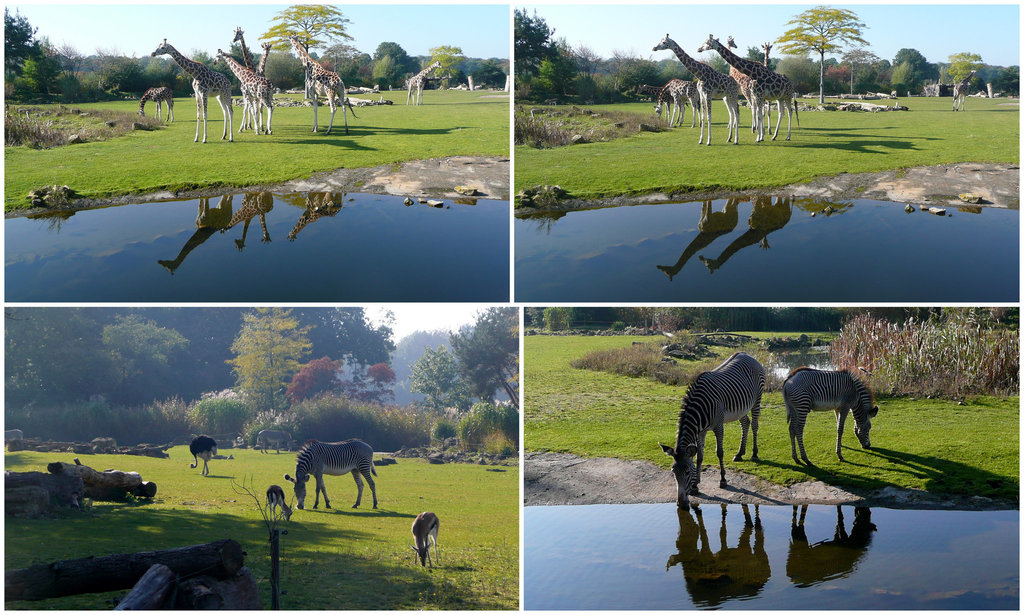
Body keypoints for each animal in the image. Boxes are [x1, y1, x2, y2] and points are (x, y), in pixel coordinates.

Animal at [659, 352, 765, 505]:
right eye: (673, 472)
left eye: (687, 472)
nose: (681, 503)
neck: (700, 409)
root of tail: (748, 355)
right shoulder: (700, 432)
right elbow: (699, 457)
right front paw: (696, 485)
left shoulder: (718, 426)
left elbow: (719, 452)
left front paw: (723, 480)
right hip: (742, 408)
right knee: (745, 423)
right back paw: (740, 453)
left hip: (757, 399)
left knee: (755, 425)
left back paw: (755, 453)